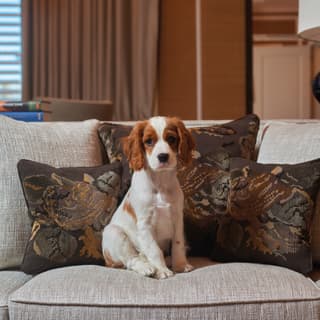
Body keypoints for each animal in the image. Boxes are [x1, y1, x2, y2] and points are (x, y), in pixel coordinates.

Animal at [102, 116, 195, 278]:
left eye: (171, 138)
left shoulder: (178, 218)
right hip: (114, 232)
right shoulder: (145, 224)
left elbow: (178, 244)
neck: (160, 183)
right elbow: (154, 249)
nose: (163, 157)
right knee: (131, 260)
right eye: (149, 141)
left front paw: (180, 265)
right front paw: (162, 270)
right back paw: (146, 268)